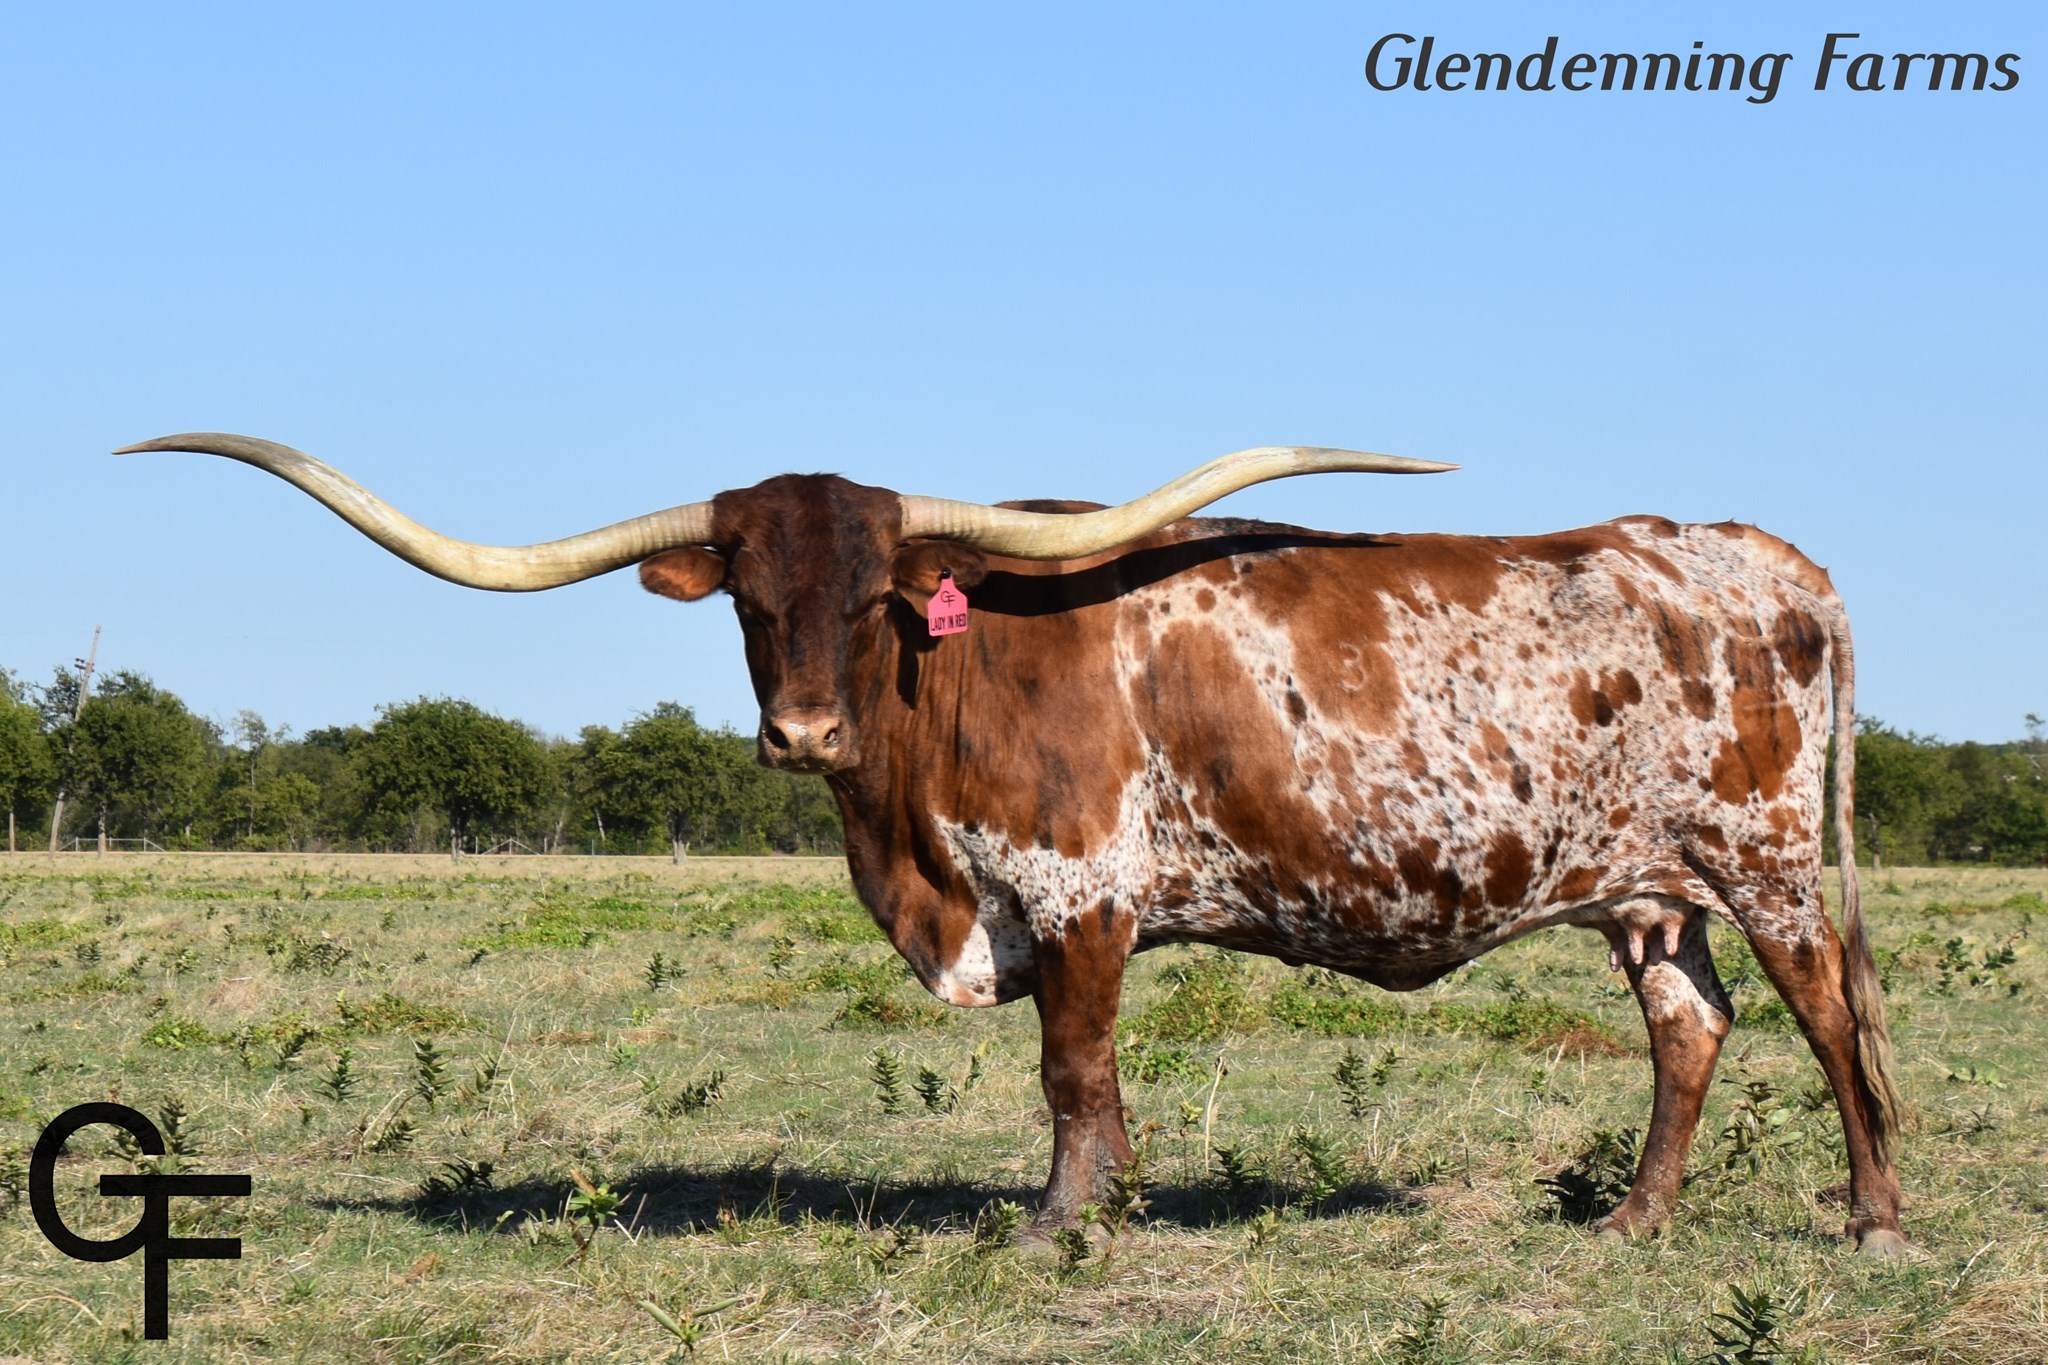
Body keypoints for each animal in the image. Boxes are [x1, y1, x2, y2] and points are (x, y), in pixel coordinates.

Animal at [119, 432, 1907, 1254]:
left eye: (875, 596)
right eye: (751, 597)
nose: (802, 734)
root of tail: (1762, 556)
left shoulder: (1082, 894)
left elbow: (1073, 1071)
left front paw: (1062, 1223)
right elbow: (1086, 1080)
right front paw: (1099, 1207)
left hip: (1763, 863)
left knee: (1829, 1016)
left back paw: (1874, 1210)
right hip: (1646, 893)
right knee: (1690, 1029)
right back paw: (1637, 1219)